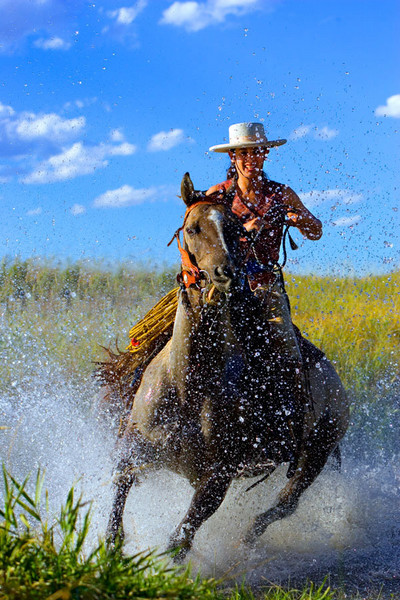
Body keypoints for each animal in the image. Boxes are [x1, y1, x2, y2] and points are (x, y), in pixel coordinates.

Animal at [104, 171, 350, 560]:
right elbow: (119, 494)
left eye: (236, 230)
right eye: (192, 228)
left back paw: (245, 543)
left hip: (317, 453)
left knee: (284, 505)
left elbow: (180, 540)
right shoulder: (134, 450)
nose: (226, 274)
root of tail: (334, 380)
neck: (189, 383)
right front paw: (111, 550)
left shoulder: (218, 477)